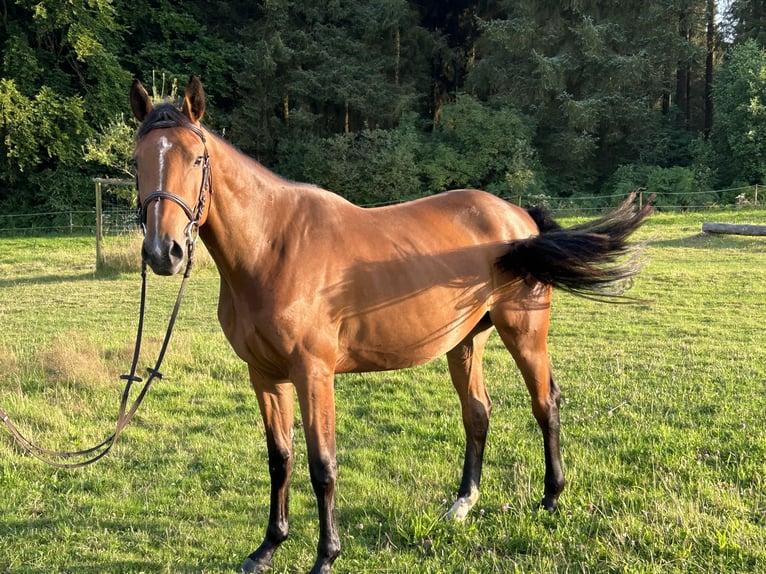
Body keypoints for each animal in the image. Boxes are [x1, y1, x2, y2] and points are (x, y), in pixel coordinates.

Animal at [132, 77, 656, 574]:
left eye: (198, 158)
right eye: (137, 162)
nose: (163, 252)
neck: (272, 247)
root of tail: (518, 218)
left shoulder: (313, 373)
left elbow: (322, 465)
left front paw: (325, 556)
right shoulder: (264, 375)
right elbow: (280, 459)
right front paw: (267, 548)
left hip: (524, 335)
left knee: (545, 403)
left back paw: (550, 496)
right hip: (466, 341)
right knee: (477, 412)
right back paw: (462, 504)